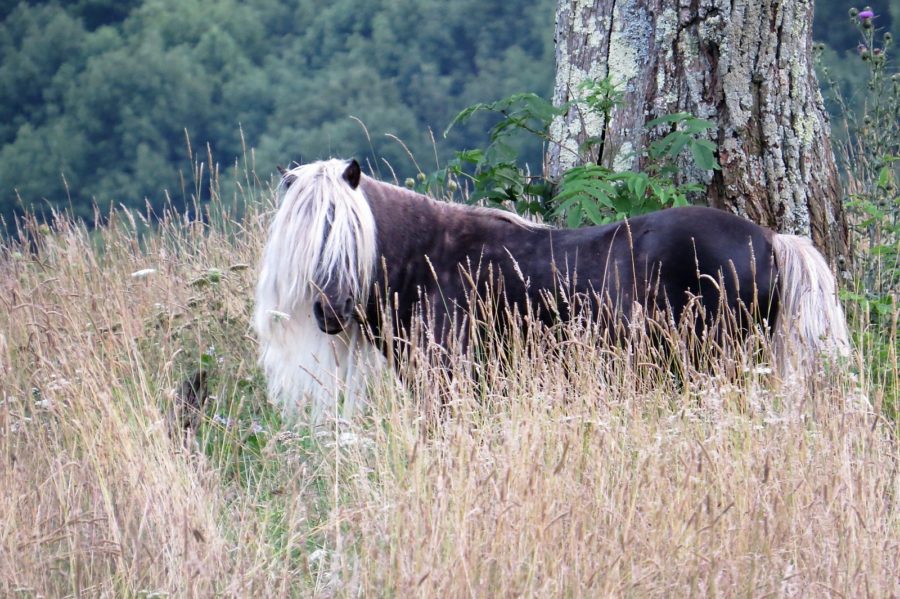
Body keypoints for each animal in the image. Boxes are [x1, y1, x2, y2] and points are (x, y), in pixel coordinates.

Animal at [253, 158, 850, 421]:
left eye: (347, 234)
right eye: (306, 238)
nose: (330, 310)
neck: (430, 261)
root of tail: (771, 239)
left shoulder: (450, 382)